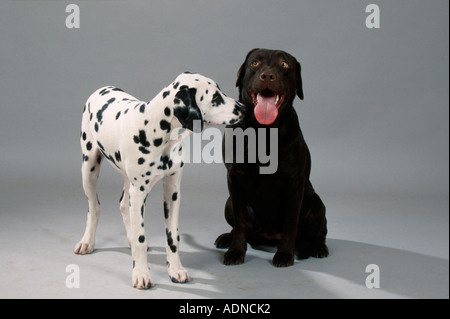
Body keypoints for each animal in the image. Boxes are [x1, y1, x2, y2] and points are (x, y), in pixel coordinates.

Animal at [74, 72, 244, 290]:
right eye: (215, 98)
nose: (244, 108)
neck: (155, 131)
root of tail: (101, 89)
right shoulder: (139, 194)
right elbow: (140, 238)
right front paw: (141, 273)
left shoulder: (172, 191)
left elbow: (173, 236)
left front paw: (175, 269)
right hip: (89, 169)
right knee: (94, 207)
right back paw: (87, 241)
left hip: (127, 182)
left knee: (123, 205)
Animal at [214, 48, 326, 268]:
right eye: (255, 63)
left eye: (284, 65)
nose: (267, 75)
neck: (262, 131)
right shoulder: (234, 178)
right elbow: (240, 223)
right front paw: (236, 250)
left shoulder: (295, 183)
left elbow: (291, 223)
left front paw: (285, 254)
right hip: (228, 203)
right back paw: (226, 238)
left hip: (316, 204)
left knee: (319, 231)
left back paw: (316, 247)